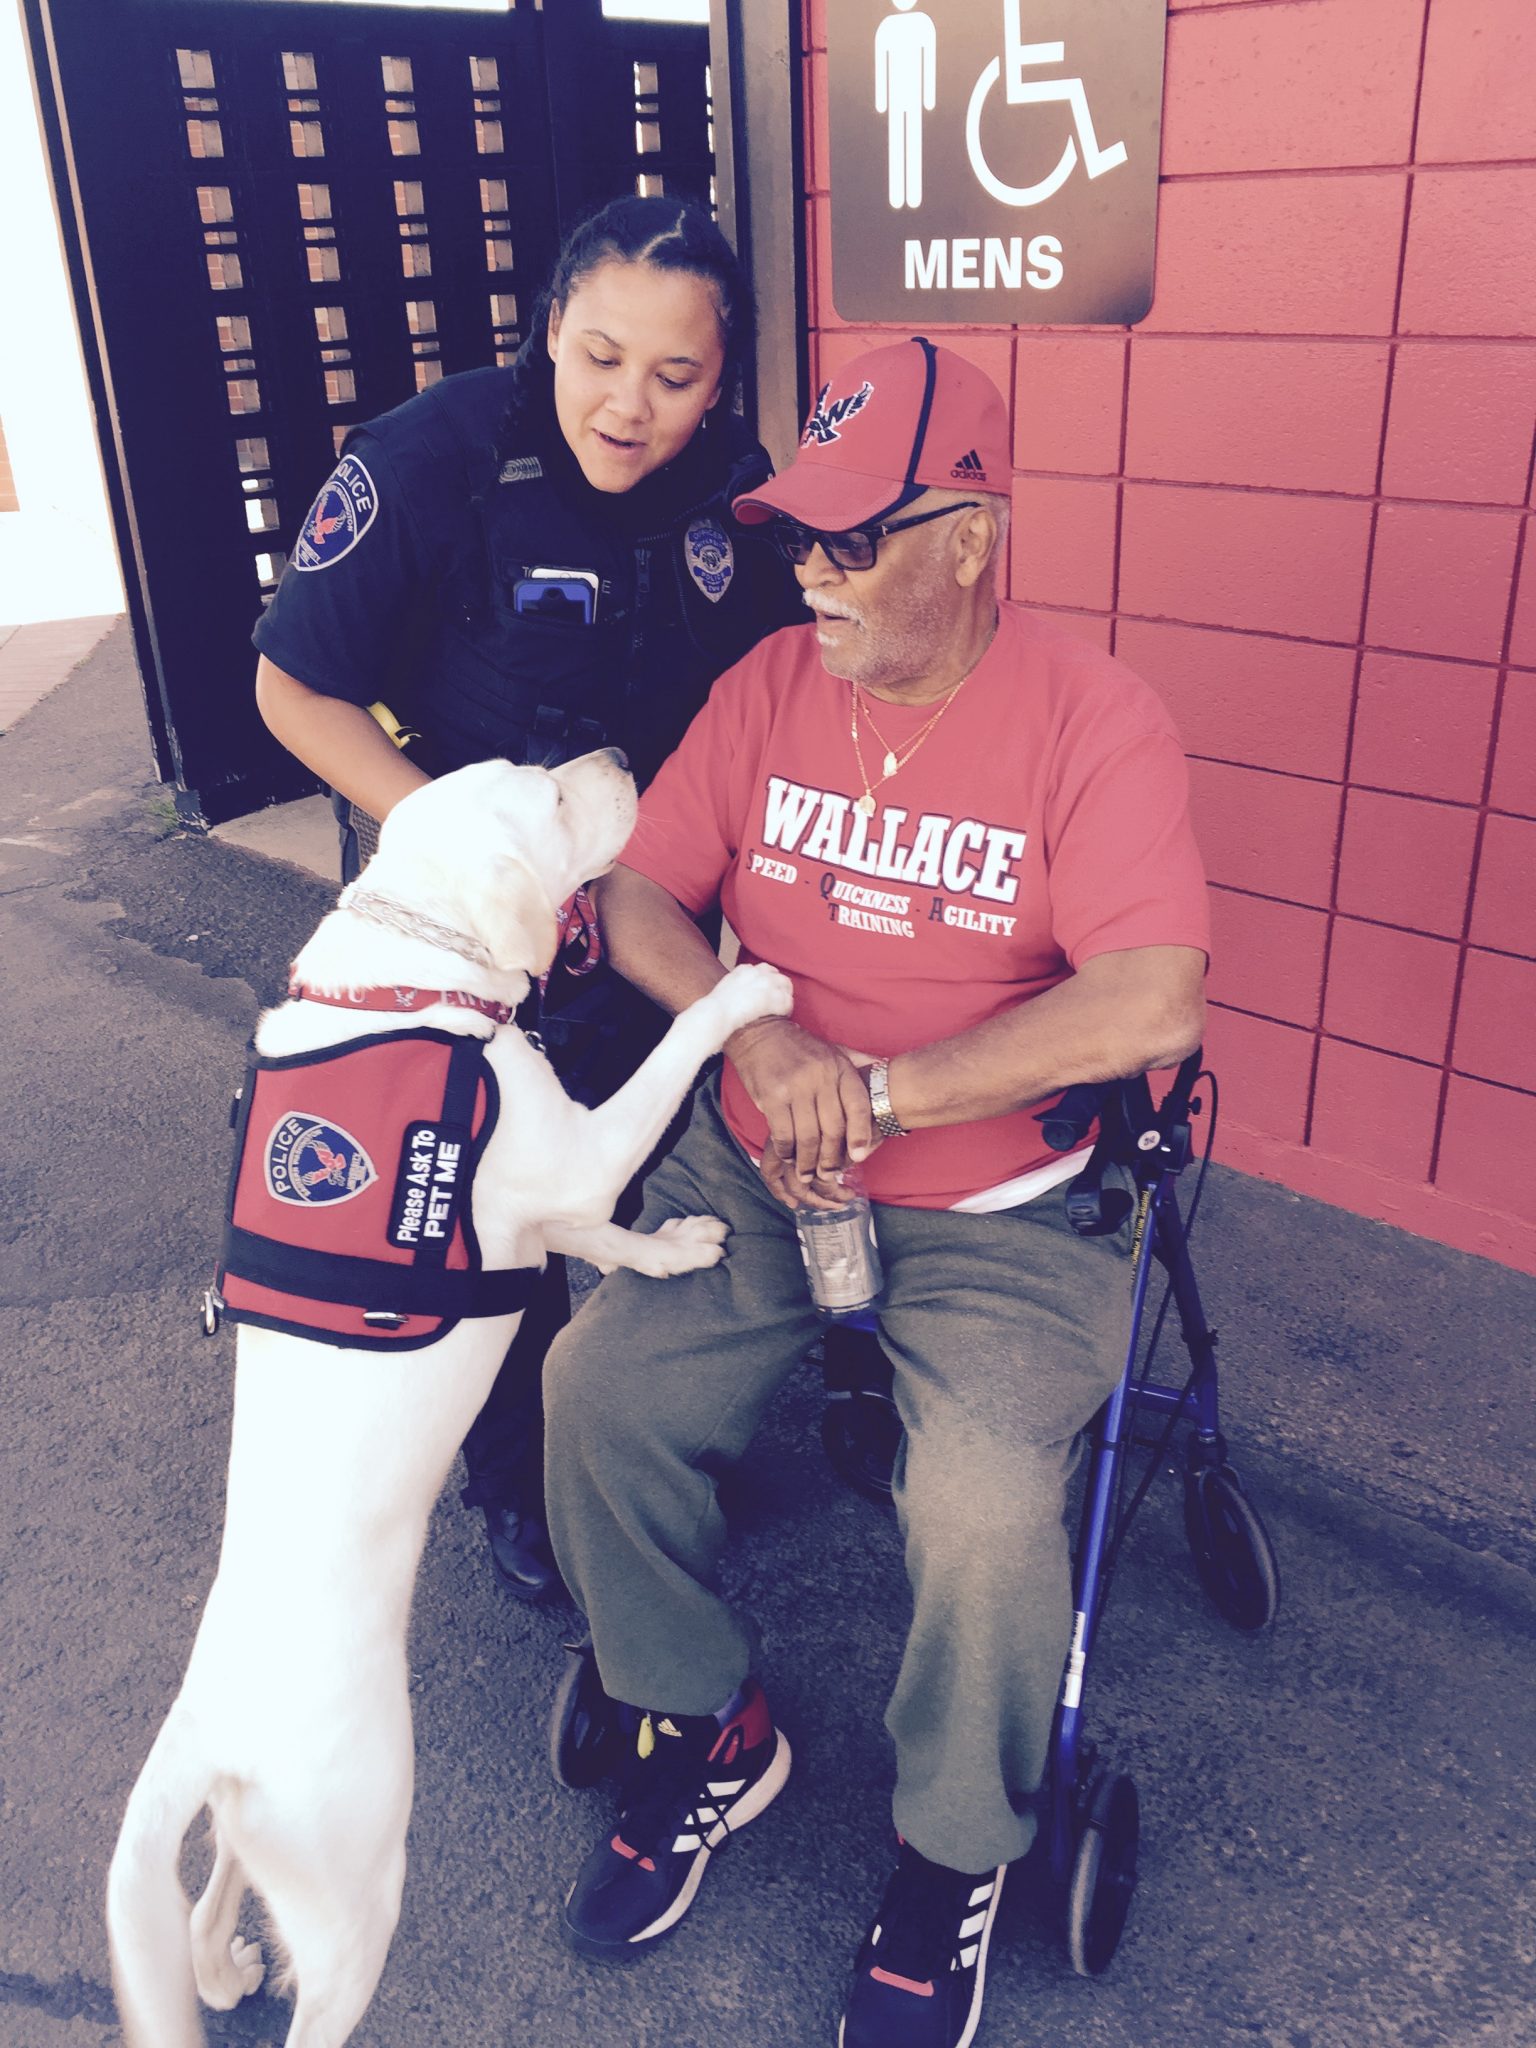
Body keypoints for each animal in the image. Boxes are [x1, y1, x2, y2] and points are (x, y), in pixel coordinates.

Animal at [108, 753, 798, 2048]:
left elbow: (615, 1243)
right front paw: (745, 990)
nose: (617, 759)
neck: (404, 976)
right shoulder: (580, 1151)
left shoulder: (555, 1200)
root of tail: (213, 1734)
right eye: (556, 801)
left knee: (215, 1883)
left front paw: (675, 1249)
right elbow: (675, 1052)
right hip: (359, 1888)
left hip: (249, 1832)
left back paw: (221, 1963)